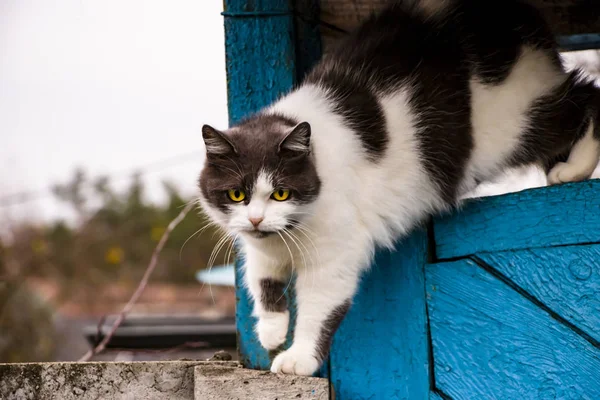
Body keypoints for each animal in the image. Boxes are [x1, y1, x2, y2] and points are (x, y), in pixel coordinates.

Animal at [198, 0, 600, 376]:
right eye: (236, 194)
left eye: (281, 193)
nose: (255, 220)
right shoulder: (260, 250)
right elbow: (262, 280)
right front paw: (271, 331)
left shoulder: (334, 255)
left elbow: (318, 309)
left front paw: (299, 358)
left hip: (514, 120)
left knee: (586, 94)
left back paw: (574, 168)